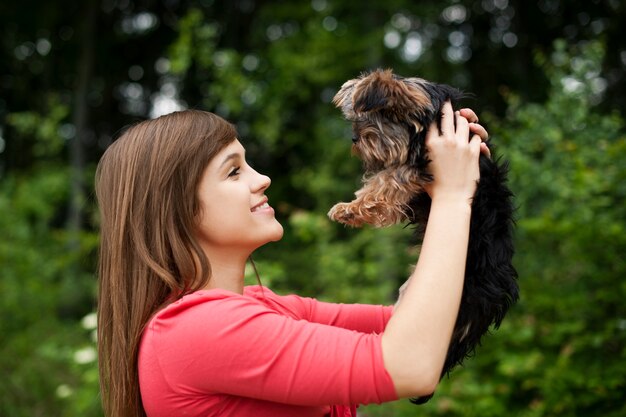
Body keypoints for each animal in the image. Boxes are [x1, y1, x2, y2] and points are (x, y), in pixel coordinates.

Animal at [326, 68, 516, 404]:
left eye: (373, 117)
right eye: (355, 118)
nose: (354, 138)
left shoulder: (417, 164)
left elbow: (387, 180)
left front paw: (351, 208)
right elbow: (380, 180)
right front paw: (353, 206)